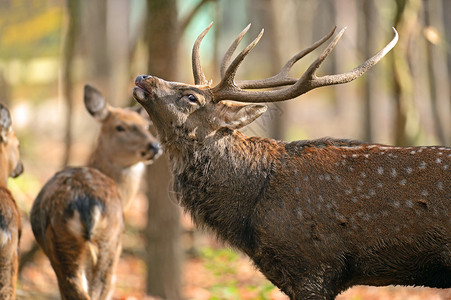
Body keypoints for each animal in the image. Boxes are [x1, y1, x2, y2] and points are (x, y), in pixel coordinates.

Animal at [30, 85, 162, 300]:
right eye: (120, 127)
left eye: (146, 126)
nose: (155, 146)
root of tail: (87, 205)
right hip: (107, 241)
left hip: (68, 243)